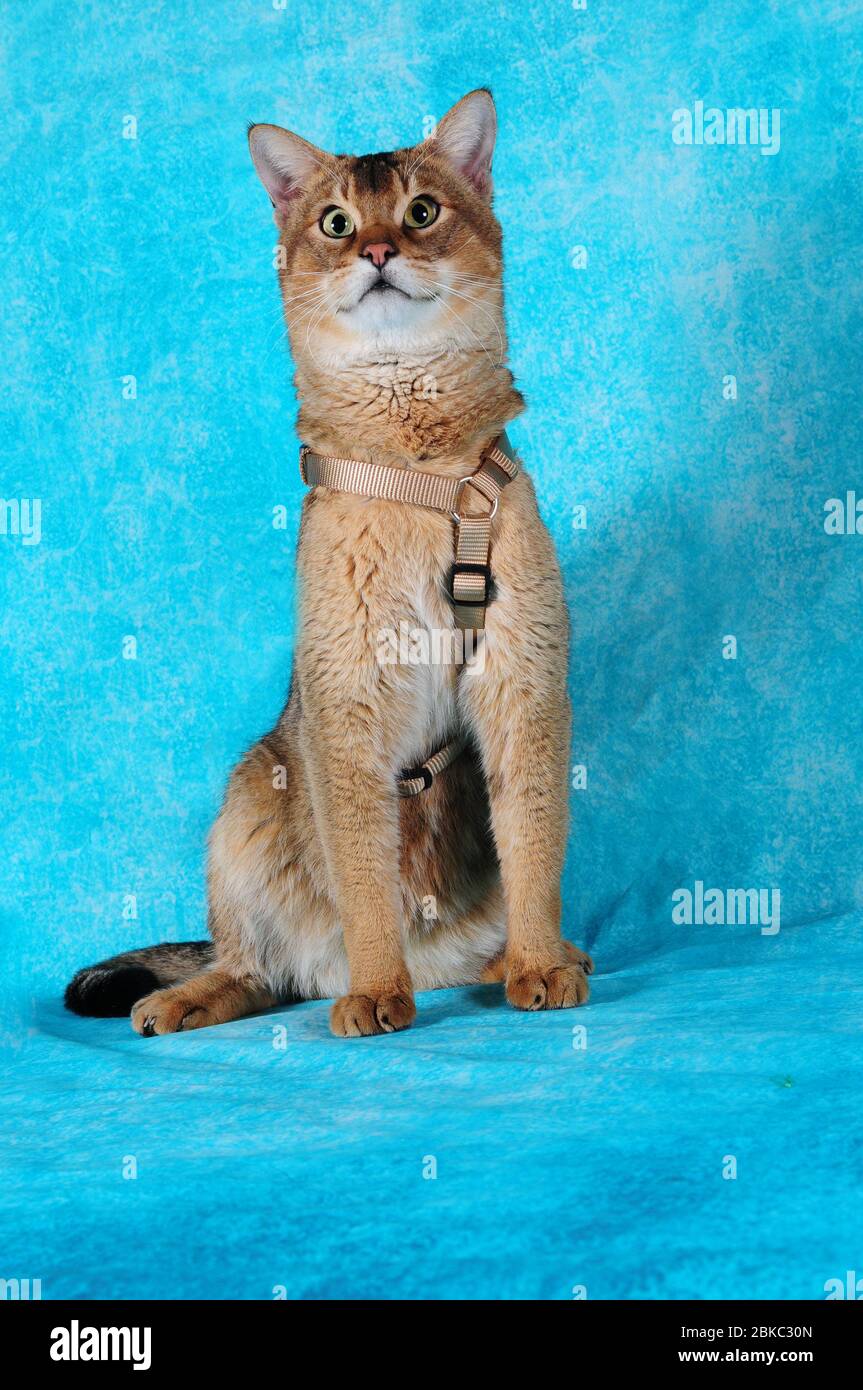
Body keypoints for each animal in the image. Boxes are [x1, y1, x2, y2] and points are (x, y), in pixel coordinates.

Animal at [65, 92, 592, 1039]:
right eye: (336, 223)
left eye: (421, 211)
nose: (377, 251)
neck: (416, 468)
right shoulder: (344, 704)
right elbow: (364, 874)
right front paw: (378, 988)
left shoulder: (522, 683)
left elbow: (535, 845)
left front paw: (539, 962)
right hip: (248, 797)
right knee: (255, 968)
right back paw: (193, 996)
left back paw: (518, 958)